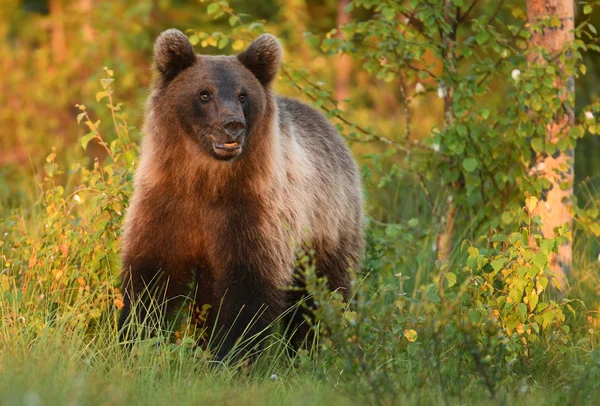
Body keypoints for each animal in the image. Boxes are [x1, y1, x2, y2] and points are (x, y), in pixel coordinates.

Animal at [116, 29, 360, 362]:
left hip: (327, 225)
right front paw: (134, 339)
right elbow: (152, 276)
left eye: (243, 94)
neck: (206, 182)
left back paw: (311, 351)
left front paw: (229, 355)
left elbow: (249, 288)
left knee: (321, 295)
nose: (233, 124)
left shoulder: (253, 211)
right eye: (204, 94)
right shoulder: (167, 201)